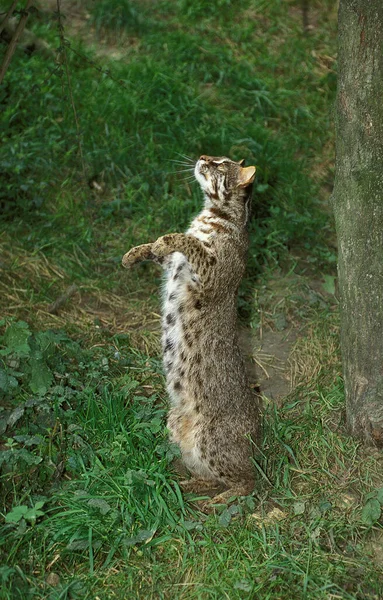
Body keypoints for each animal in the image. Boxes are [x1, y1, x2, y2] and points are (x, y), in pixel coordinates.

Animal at [122, 154, 260, 502]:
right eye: (215, 156)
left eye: (221, 164)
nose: (202, 157)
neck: (212, 211)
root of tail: (259, 442)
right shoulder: (173, 264)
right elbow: (160, 249)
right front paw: (136, 252)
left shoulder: (210, 273)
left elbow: (188, 241)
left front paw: (167, 238)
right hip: (175, 422)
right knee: (211, 474)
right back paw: (193, 486)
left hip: (210, 436)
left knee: (249, 483)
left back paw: (221, 500)